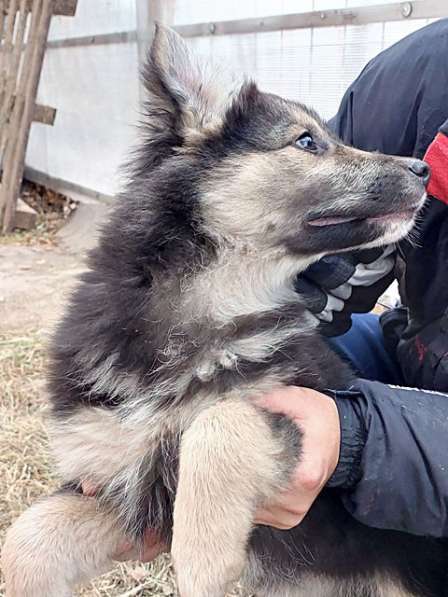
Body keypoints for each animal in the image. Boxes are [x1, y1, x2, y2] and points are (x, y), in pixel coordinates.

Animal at [1, 25, 442, 596]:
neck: (212, 304)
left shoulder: (301, 414)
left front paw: (202, 555)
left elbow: (219, 419)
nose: (423, 167)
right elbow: (28, 539)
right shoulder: (122, 480)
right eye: (306, 141)